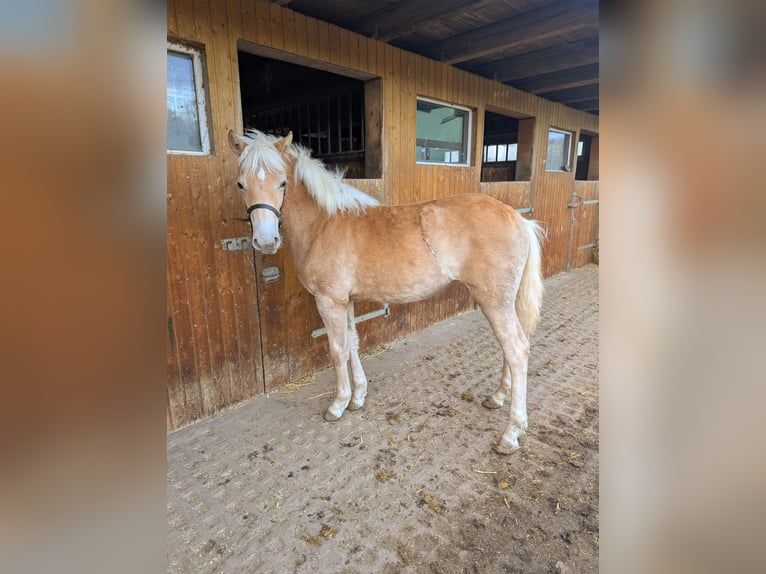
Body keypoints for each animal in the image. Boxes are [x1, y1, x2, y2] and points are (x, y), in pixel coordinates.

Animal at [228, 129, 544, 454]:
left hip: (494, 301)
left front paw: (338, 404)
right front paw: (358, 397)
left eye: (282, 182)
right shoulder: (346, 302)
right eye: (241, 184)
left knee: (517, 350)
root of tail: (519, 218)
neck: (323, 223)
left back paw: (511, 433)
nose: (266, 241)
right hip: (503, 302)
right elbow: (352, 344)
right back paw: (497, 397)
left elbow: (337, 350)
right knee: (510, 348)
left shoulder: (329, 302)